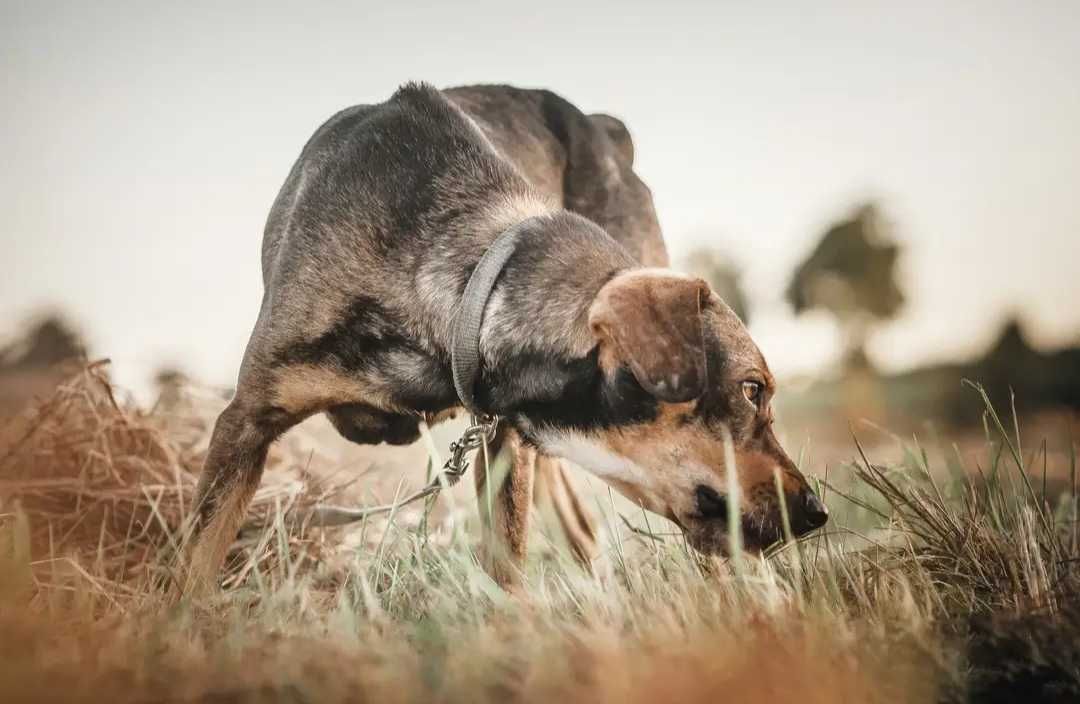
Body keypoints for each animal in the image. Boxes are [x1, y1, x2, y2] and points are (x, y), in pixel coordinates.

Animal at [181, 82, 829, 596]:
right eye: (752, 389)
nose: (818, 512)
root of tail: (603, 127)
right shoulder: (245, 422)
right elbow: (196, 562)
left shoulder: (502, 444)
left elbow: (507, 570)